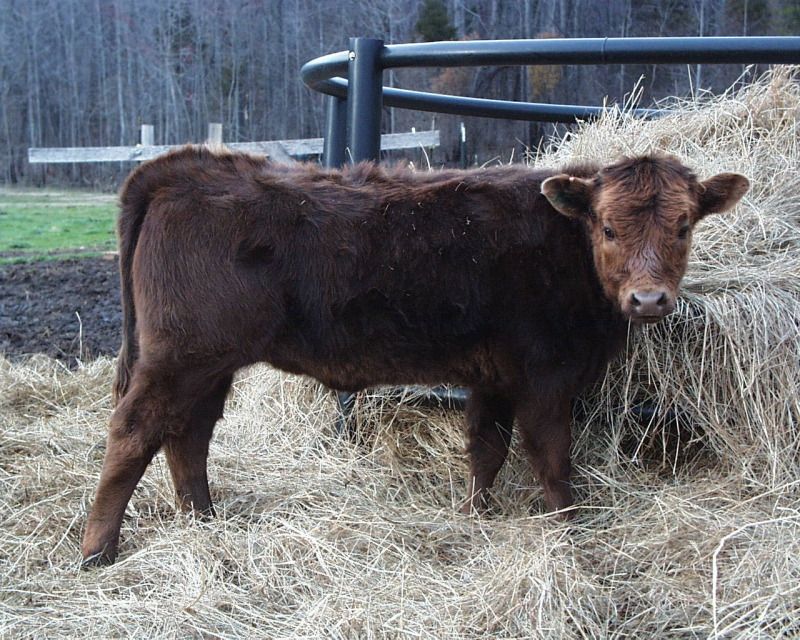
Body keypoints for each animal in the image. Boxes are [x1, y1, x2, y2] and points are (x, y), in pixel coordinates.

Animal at [81, 147, 748, 565]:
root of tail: (182, 166)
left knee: (187, 434)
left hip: (208, 364)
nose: (649, 299)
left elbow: (486, 447)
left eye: (684, 226)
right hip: (180, 358)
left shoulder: (494, 376)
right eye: (608, 228)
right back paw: (97, 550)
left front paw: (478, 515)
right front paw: (568, 530)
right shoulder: (544, 378)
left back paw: (204, 521)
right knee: (134, 431)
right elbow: (552, 459)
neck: (565, 252)